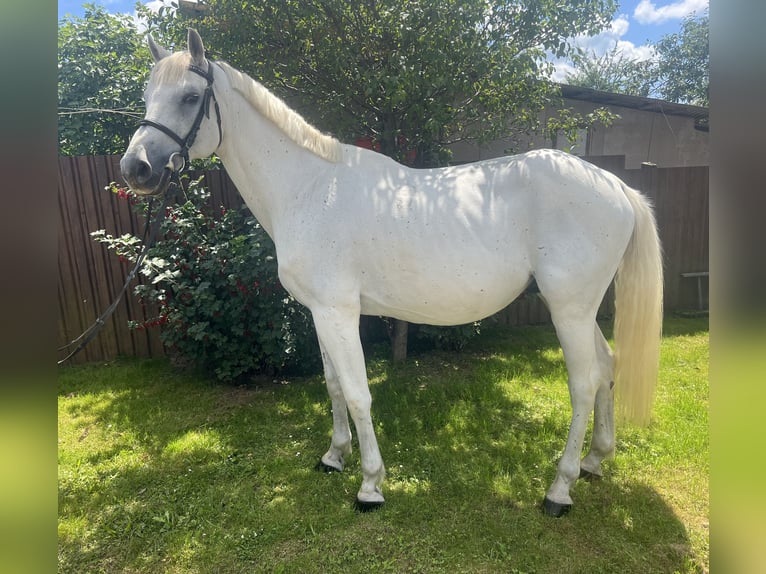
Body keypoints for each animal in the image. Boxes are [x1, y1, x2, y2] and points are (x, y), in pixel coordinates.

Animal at [123, 29, 664, 520]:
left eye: (191, 97)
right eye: (147, 97)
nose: (136, 169)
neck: (310, 188)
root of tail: (613, 184)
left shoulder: (340, 313)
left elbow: (358, 393)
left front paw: (370, 486)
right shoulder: (321, 313)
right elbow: (333, 387)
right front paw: (333, 457)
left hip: (570, 309)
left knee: (584, 383)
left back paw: (559, 490)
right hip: (577, 309)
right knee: (607, 368)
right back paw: (595, 462)